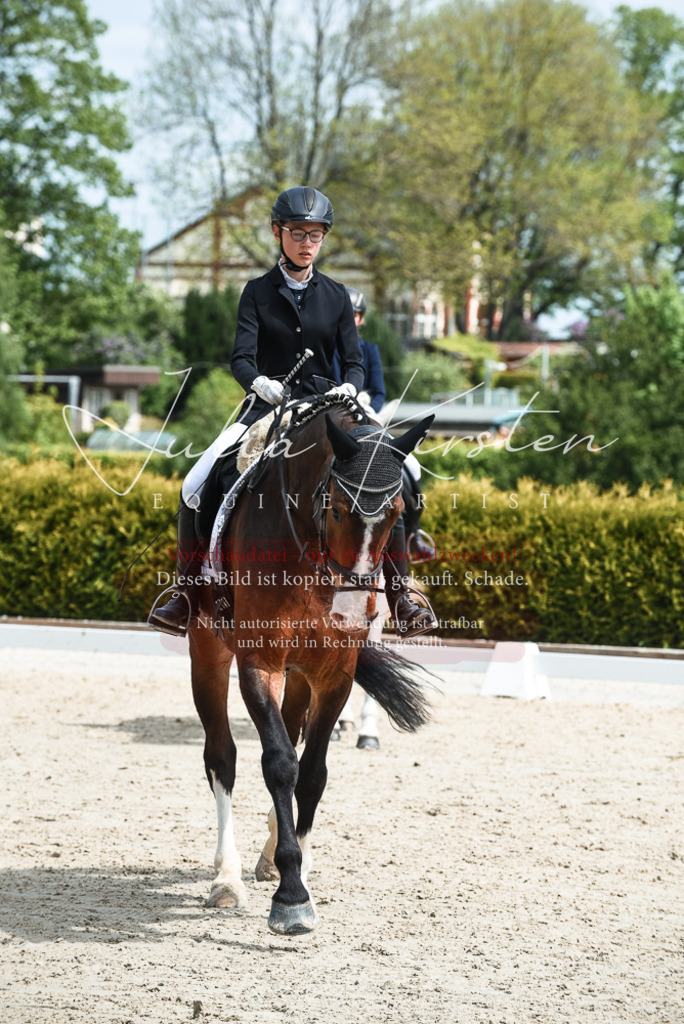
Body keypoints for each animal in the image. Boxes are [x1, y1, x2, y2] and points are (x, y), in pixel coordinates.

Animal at [187, 396, 434, 935]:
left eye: (397, 514)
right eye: (337, 508)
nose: (350, 609)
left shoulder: (334, 673)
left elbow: (313, 772)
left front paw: (293, 864)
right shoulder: (258, 663)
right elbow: (279, 763)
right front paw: (291, 897)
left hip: (302, 676)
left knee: (293, 733)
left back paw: (267, 851)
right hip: (207, 651)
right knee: (222, 757)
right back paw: (227, 877)